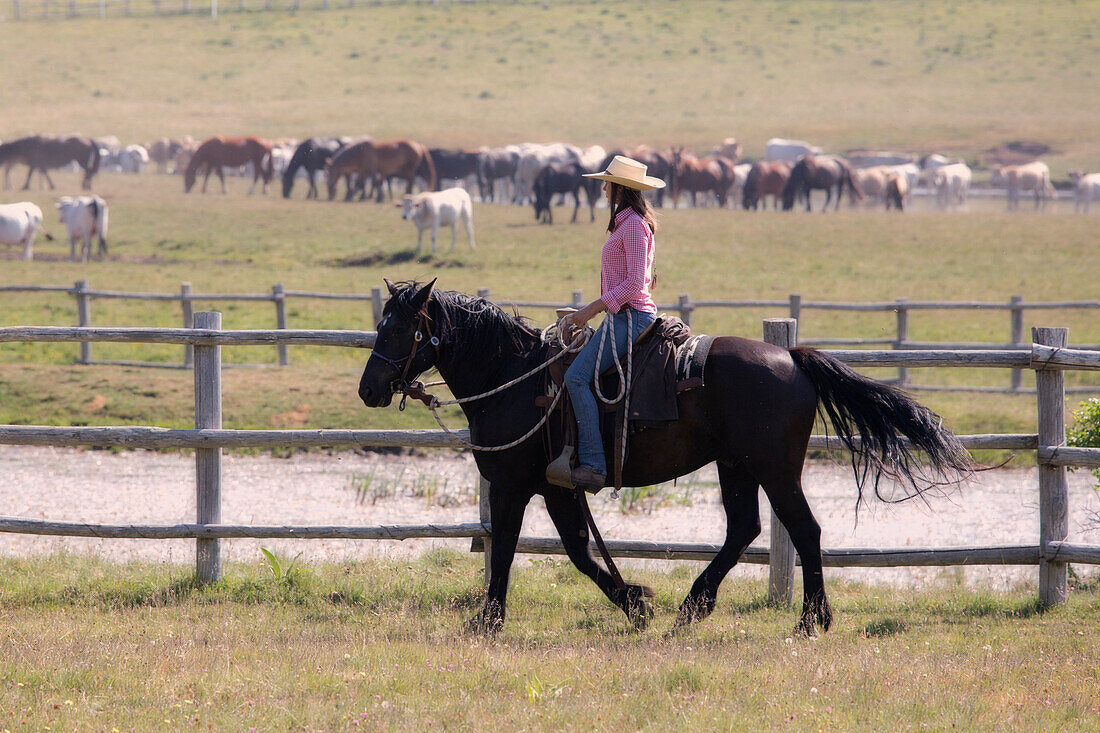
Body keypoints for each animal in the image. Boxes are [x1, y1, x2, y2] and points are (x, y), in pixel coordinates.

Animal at [356, 279, 976, 633]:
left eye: (403, 328)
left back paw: (809, 620)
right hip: (736, 467)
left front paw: (489, 621)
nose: (369, 389)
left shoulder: (513, 486)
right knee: (745, 529)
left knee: (803, 530)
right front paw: (636, 603)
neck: (514, 377)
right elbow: (579, 552)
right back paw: (694, 605)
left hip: (775, 471)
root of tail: (792, 358)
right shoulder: (558, 487)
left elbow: (508, 549)